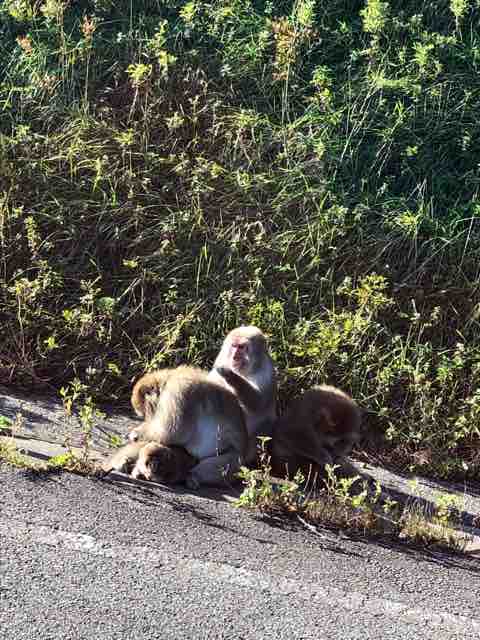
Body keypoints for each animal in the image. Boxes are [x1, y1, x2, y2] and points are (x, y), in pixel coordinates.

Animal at [208, 326, 277, 465]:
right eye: (234, 346)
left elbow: (257, 404)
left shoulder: (266, 372)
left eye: (241, 347)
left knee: (266, 422)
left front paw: (231, 376)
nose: (235, 356)